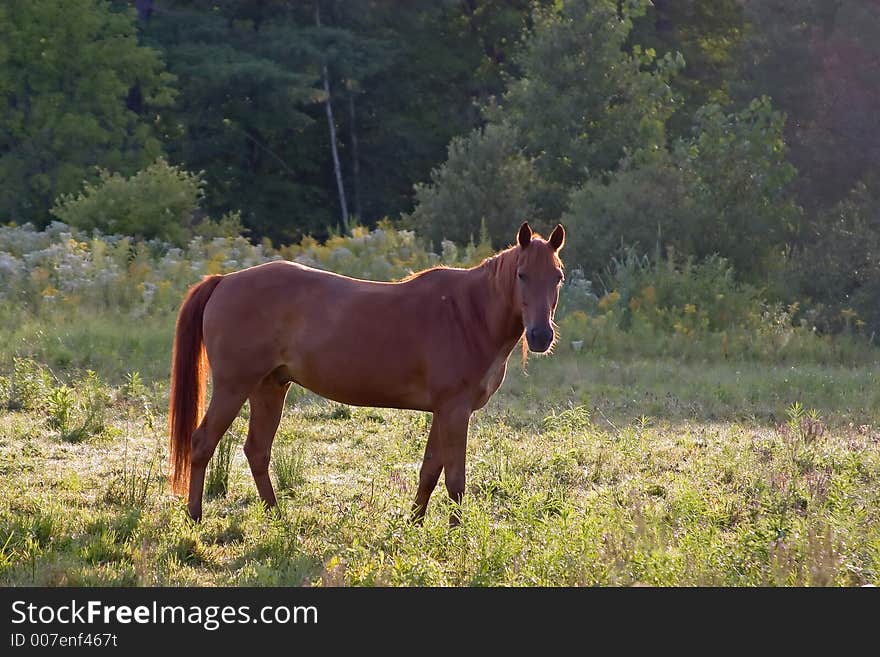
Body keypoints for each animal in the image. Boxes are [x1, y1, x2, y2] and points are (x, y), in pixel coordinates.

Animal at [169, 220, 568, 524]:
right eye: (521, 275)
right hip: (233, 387)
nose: (540, 335)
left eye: (558, 277)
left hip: (269, 388)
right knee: (203, 444)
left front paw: (415, 524)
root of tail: (224, 281)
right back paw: (195, 517)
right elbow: (455, 479)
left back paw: (276, 517)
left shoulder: (445, 411)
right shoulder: (454, 411)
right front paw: (457, 534)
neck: (467, 314)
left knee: (257, 451)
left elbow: (430, 471)